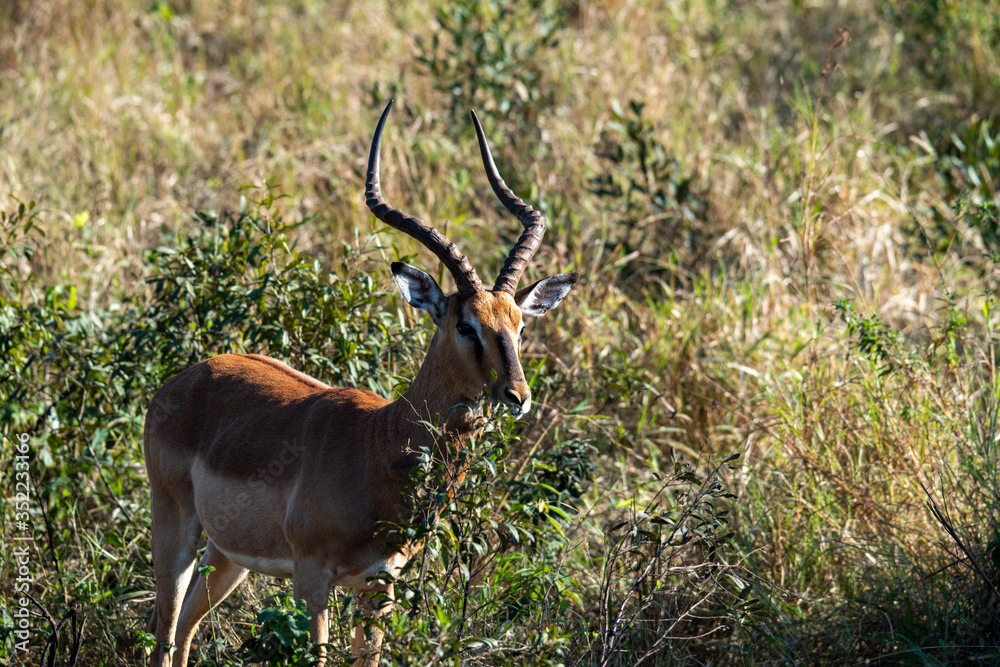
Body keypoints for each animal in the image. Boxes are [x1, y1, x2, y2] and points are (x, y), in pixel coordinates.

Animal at [143, 100, 578, 667]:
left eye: (520, 326)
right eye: (466, 325)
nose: (518, 397)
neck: (380, 443)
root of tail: (183, 379)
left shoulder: (381, 585)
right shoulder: (312, 581)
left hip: (227, 554)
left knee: (188, 626)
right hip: (174, 528)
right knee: (164, 626)